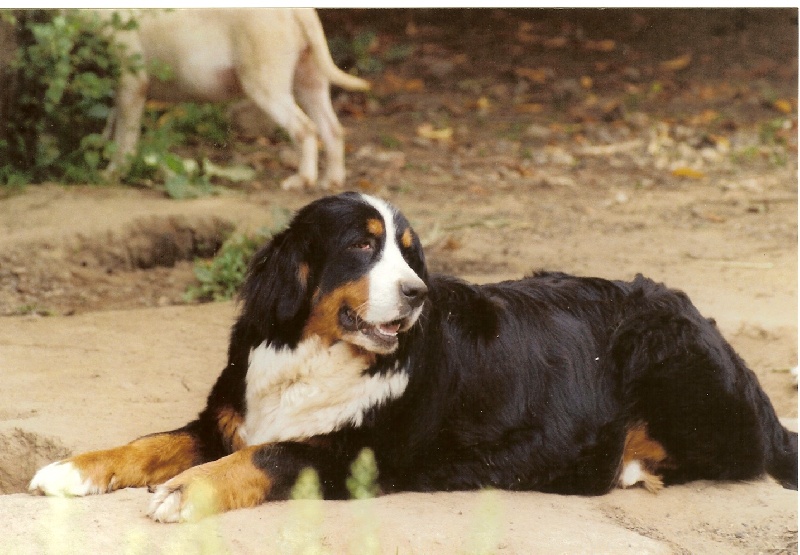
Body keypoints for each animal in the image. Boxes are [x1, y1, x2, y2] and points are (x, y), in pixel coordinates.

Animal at [28, 191, 796, 520]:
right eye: (363, 245)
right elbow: (149, 442)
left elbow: (263, 457)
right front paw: (72, 469)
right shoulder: (223, 418)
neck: (315, 352)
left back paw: (627, 463)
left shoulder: (348, 453)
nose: (418, 292)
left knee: (732, 453)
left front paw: (186, 492)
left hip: (672, 363)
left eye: (409, 253)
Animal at [103, 7, 372, 190]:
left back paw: (301, 180)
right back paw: (331, 182)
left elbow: (124, 135)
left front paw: (113, 173)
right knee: (332, 129)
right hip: (309, 79)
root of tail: (298, 9)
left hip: (266, 84)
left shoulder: (131, 80)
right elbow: (111, 126)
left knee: (304, 128)